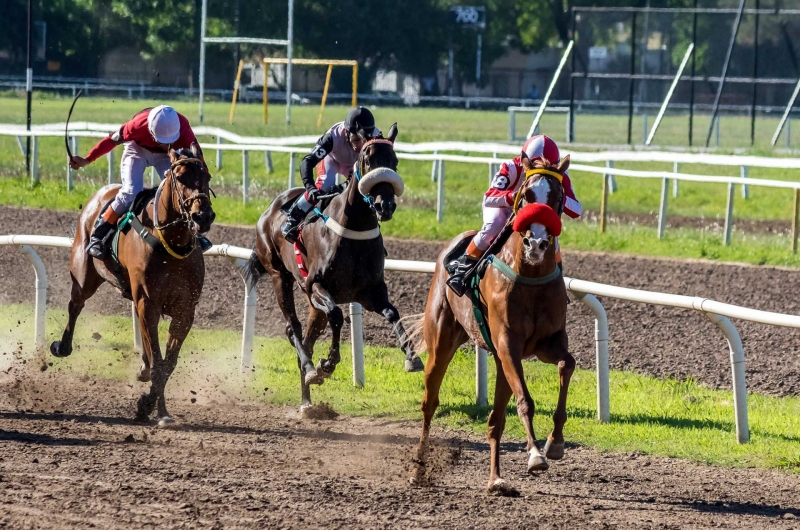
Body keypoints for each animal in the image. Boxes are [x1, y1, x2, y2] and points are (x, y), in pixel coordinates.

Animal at [50, 145, 216, 424]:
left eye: (207, 176)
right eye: (180, 177)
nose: (203, 216)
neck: (170, 243)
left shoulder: (185, 310)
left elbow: (168, 363)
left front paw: (153, 405)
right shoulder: (148, 302)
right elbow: (160, 363)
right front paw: (153, 408)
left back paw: (143, 367)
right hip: (84, 273)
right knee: (75, 305)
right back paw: (62, 346)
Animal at [245, 124, 422, 404]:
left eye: (394, 162)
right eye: (368, 160)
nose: (385, 205)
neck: (354, 230)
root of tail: (269, 210)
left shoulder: (371, 292)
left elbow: (393, 312)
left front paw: (412, 358)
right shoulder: (316, 285)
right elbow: (337, 316)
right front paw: (327, 363)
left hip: (311, 304)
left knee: (307, 339)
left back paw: (307, 403)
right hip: (279, 276)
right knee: (293, 328)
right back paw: (311, 370)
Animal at [412, 156, 576, 490]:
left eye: (557, 197)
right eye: (526, 195)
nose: (537, 244)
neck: (531, 275)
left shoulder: (547, 342)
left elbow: (568, 364)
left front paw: (554, 443)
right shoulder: (508, 342)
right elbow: (525, 400)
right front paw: (535, 455)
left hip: (500, 361)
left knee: (494, 421)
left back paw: (496, 479)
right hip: (442, 343)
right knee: (429, 402)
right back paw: (419, 467)